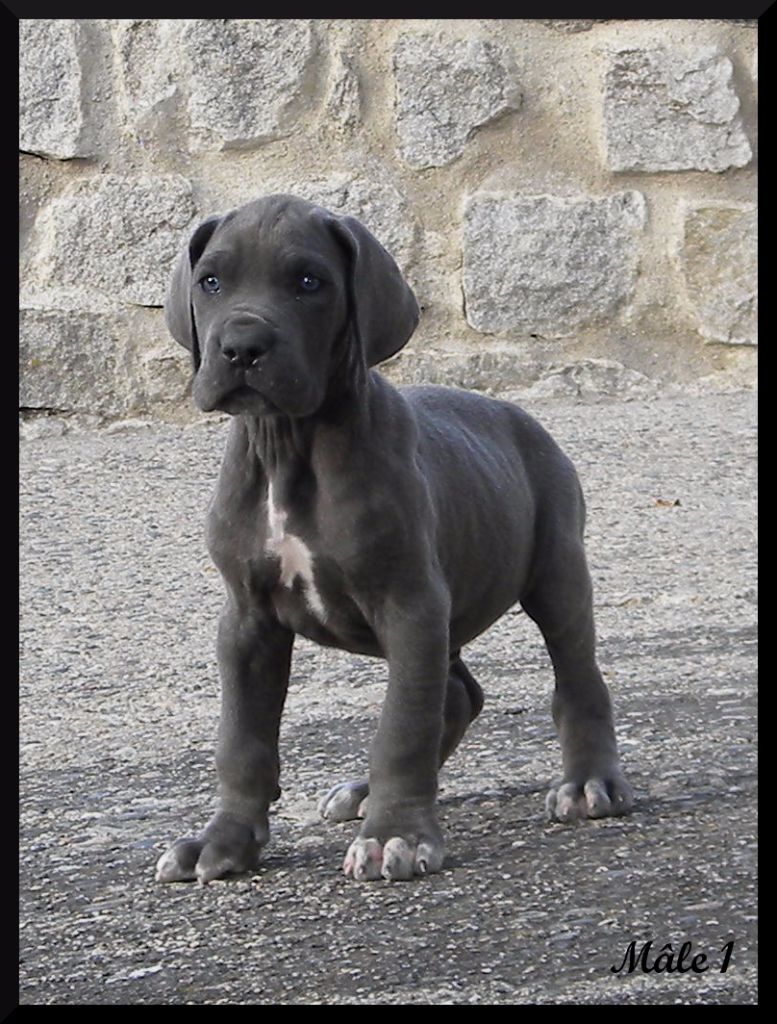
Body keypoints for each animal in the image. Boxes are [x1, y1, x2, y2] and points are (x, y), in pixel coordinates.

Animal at [155, 194, 633, 884]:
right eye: (211, 281)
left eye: (309, 282)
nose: (241, 347)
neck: (288, 447)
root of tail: (516, 413)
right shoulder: (247, 621)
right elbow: (242, 740)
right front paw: (223, 840)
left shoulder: (409, 604)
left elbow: (401, 727)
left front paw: (396, 835)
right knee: (457, 693)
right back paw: (363, 793)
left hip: (556, 575)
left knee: (576, 678)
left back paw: (589, 782)